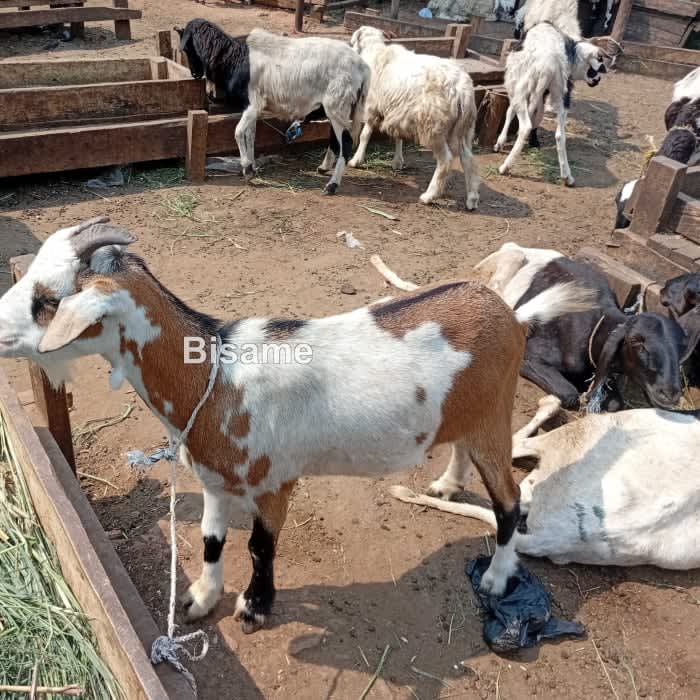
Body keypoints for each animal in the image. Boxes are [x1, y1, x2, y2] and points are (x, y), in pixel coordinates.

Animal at [0, 218, 595, 630]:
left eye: (47, 300)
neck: (214, 375)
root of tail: (514, 315)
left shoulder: (275, 482)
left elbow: (260, 548)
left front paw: (254, 608)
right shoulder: (213, 477)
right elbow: (211, 539)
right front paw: (200, 599)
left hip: (495, 415)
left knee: (510, 503)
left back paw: (496, 578)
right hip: (471, 413)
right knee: (463, 450)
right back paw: (446, 484)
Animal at [175, 19, 369, 195]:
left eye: (186, 49)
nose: (195, 74)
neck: (233, 57)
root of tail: (363, 66)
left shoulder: (254, 103)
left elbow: (238, 132)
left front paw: (247, 168)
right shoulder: (252, 108)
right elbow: (250, 135)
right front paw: (251, 168)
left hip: (337, 104)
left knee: (346, 142)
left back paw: (332, 185)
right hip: (337, 108)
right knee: (336, 140)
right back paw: (323, 168)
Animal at [347, 26, 480, 209]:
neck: (375, 51)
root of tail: (461, 90)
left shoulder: (373, 108)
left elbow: (365, 135)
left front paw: (356, 160)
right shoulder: (396, 110)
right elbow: (398, 137)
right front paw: (397, 162)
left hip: (434, 127)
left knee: (445, 161)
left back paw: (429, 196)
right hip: (464, 129)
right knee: (468, 159)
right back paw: (472, 198)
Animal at [475, 242, 697, 411]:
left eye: (681, 350)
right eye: (637, 343)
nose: (670, 394)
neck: (593, 328)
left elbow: (615, 403)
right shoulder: (529, 356)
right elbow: (569, 394)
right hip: (506, 266)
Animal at [495, 22, 608, 186]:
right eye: (596, 68)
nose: (597, 80)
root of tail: (549, 64)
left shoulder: (514, 83)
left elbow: (510, 111)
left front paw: (500, 142)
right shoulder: (543, 93)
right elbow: (537, 116)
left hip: (523, 88)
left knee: (526, 125)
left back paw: (505, 167)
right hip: (560, 93)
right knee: (560, 135)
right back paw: (567, 177)